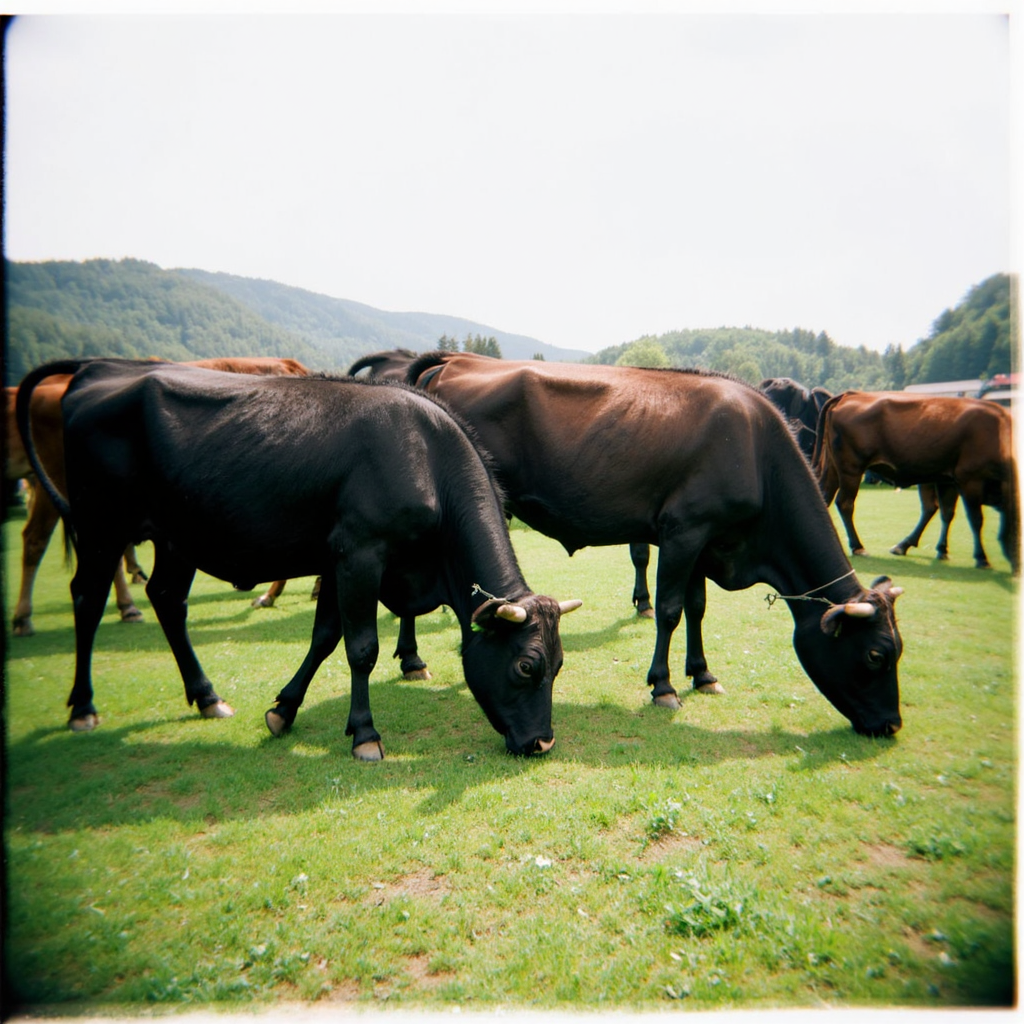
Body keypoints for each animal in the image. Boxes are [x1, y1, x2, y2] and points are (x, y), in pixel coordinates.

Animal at [351, 350, 905, 737]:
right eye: (877, 655)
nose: (892, 725)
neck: (755, 450)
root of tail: (456, 358)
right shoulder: (684, 530)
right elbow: (670, 610)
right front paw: (664, 686)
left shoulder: (706, 539)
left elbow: (698, 608)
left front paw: (703, 674)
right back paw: (412, 659)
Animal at [812, 390, 1018, 572]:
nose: (1017, 567)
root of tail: (849, 395)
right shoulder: (970, 480)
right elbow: (975, 519)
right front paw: (982, 558)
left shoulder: (947, 481)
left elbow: (945, 512)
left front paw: (939, 550)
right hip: (851, 469)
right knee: (845, 503)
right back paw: (858, 547)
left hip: (834, 468)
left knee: (824, 496)